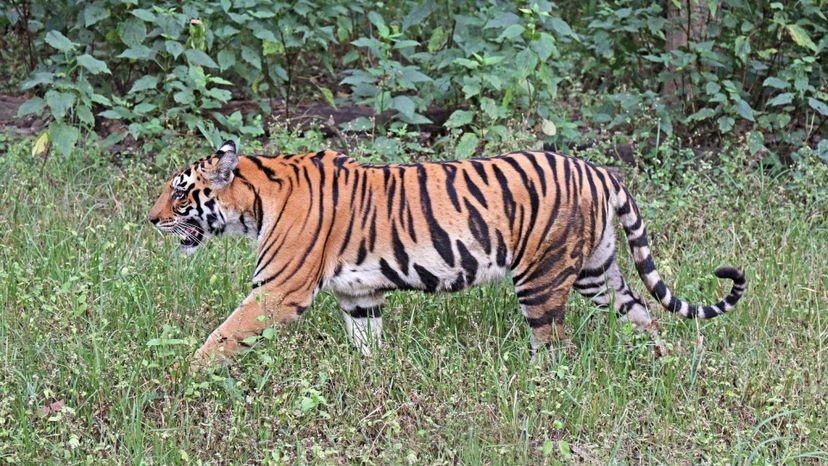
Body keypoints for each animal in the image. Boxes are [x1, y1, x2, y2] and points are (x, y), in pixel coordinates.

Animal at [148, 140, 745, 365]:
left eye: (179, 191)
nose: (150, 219)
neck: (255, 200)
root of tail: (598, 168)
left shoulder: (277, 290)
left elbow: (223, 335)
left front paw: (185, 375)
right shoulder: (358, 295)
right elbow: (368, 344)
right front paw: (372, 381)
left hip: (542, 278)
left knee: (555, 347)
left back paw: (540, 389)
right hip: (597, 271)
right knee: (643, 315)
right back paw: (662, 366)